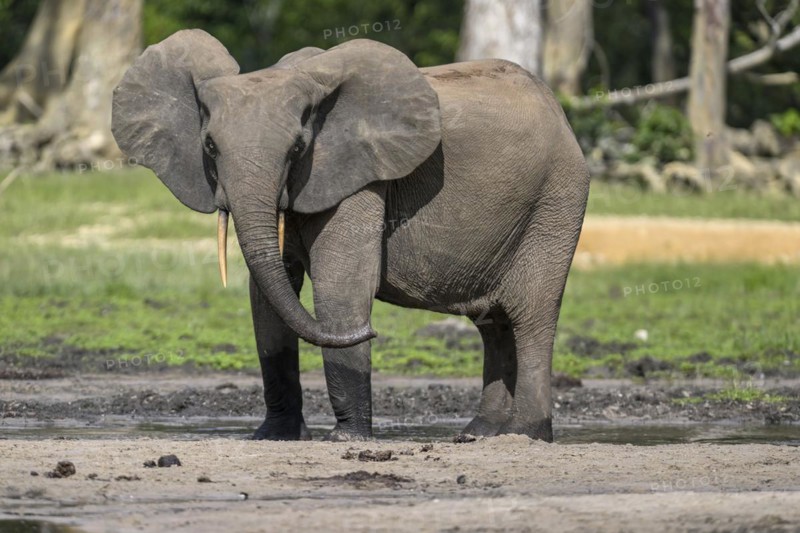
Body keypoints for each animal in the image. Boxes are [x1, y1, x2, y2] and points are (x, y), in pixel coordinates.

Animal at [111, 30, 590, 442]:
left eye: (297, 149)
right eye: (209, 147)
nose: (372, 331)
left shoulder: (362, 177)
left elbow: (340, 285)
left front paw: (347, 437)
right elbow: (268, 297)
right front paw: (275, 436)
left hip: (556, 200)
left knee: (531, 315)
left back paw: (526, 433)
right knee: (494, 322)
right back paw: (481, 434)